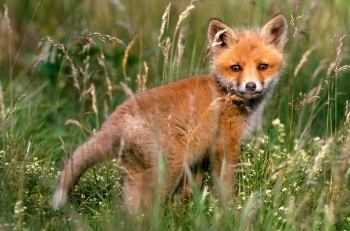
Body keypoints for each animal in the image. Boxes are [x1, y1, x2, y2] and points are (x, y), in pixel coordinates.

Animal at [52, 14, 288, 213]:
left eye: (263, 66)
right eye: (236, 67)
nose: (251, 86)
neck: (225, 93)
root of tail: (116, 119)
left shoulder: (199, 157)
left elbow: (187, 194)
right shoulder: (224, 145)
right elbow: (225, 187)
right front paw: (229, 212)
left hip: (136, 175)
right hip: (168, 169)